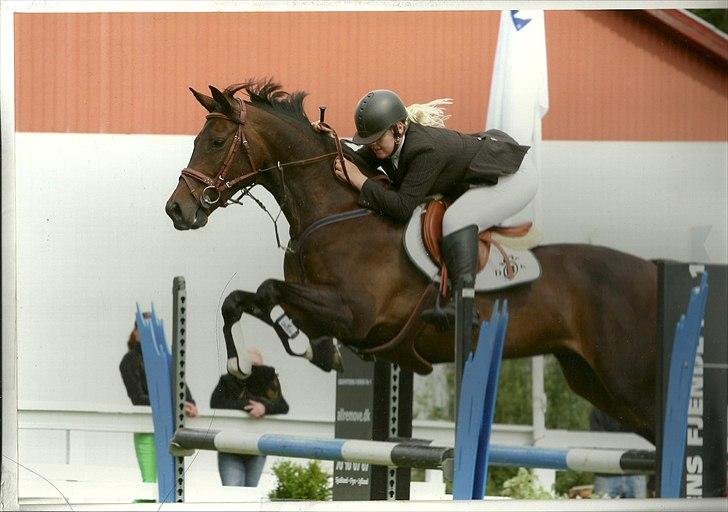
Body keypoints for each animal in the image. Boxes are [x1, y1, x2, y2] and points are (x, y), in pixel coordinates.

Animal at [165, 80, 660, 444]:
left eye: (216, 141)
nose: (176, 210)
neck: (333, 213)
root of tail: (651, 270)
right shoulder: (322, 305)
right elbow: (238, 300)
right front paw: (246, 363)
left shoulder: (354, 313)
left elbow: (269, 291)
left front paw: (305, 345)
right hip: (591, 379)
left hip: (624, 376)